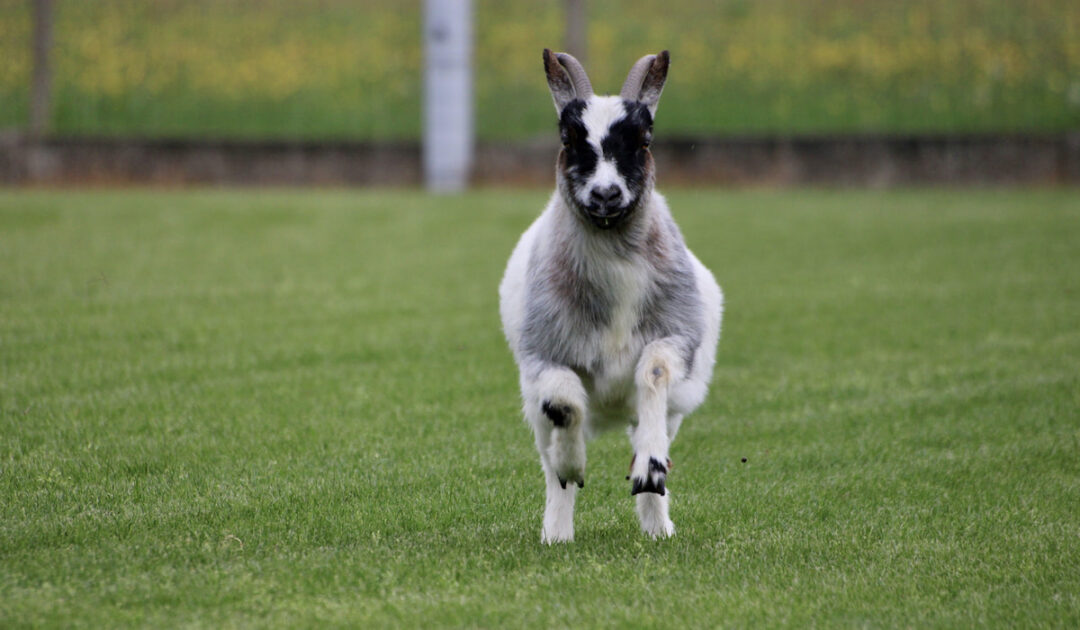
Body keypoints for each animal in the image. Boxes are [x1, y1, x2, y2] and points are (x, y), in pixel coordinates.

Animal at [499, 50, 723, 543]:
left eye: (644, 139)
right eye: (567, 136)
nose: (605, 194)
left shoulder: (679, 337)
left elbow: (654, 372)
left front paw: (650, 471)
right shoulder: (543, 357)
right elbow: (564, 402)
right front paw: (573, 465)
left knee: (647, 432)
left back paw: (657, 523)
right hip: (533, 407)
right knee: (551, 459)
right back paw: (557, 533)